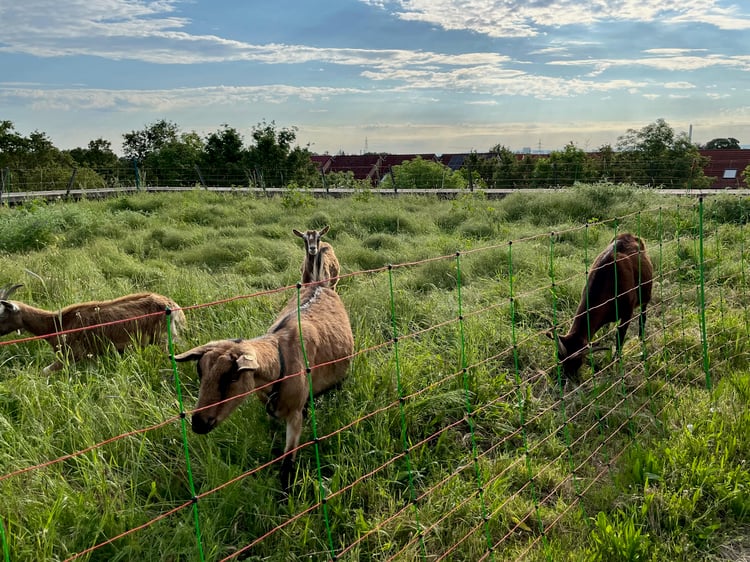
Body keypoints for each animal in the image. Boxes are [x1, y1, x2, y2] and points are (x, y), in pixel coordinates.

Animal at [0, 284, 187, 372]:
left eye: (2, 314)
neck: (56, 324)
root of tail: (173, 305)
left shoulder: (72, 355)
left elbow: (44, 371)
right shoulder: (91, 357)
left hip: (162, 339)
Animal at [175, 282, 354, 488]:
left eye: (233, 377)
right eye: (200, 370)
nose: (199, 423)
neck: (281, 358)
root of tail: (319, 285)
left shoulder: (294, 414)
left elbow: (287, 462)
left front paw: (285, 492)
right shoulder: (270, 411)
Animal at [548, 232, 656, 376]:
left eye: (577, 362)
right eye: (559, 357)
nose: (567, 377)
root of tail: (629, 235)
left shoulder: (627, 312)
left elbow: (620, 336)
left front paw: (616, 363)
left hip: (645, 295)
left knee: (642, 317)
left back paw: (641, 338)